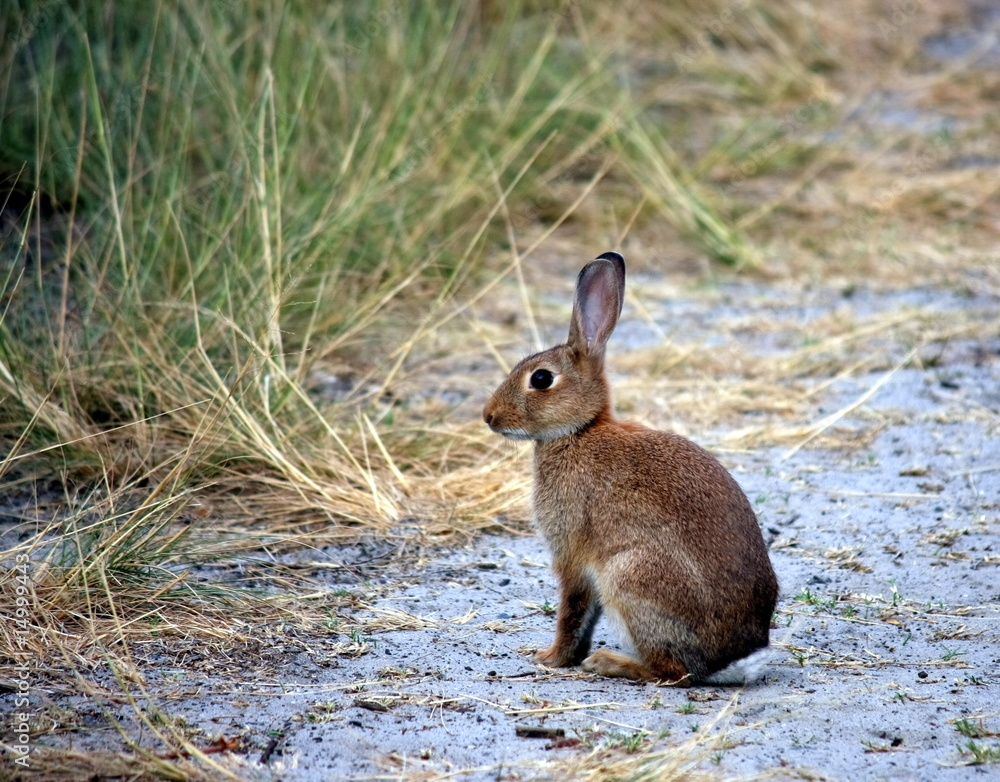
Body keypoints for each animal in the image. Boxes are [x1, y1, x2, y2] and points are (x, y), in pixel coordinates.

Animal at [482, 251, 778, 685]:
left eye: (541, 378)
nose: (488, 416)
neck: (580, 430)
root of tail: (729, 660)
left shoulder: (573, 555)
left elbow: (572, 611)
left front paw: (551, 658)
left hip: (629, 578)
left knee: (672, 671)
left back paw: (609, 662)